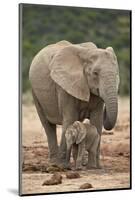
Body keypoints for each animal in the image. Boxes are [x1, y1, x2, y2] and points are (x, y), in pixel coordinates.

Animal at [29, 39, 119, 168]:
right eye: (95, 73)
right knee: (47, 125)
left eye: (117, 73)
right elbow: (70, 118)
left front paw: (95, 167)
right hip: (35, 93)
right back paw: (53, 163)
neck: (87, 53)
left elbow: (97, 120)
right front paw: (62, 166)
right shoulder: (64, 86)